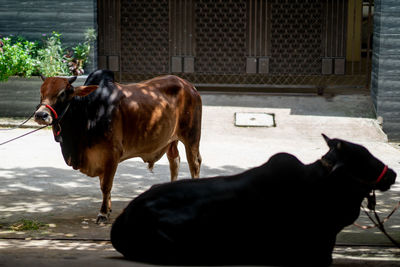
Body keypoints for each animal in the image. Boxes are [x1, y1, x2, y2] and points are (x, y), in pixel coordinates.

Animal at [33, 69, 203, 224]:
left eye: (62, 93)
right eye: (41, 92)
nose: (41, 115)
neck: (89, 111)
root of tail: (189, 86)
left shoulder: (111, 153)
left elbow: (106, 185)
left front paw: (103, 213)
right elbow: (103, 184)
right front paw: (107, 209)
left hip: (192, 137)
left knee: (194, 163)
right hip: (170, 140)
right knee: (174, 161)